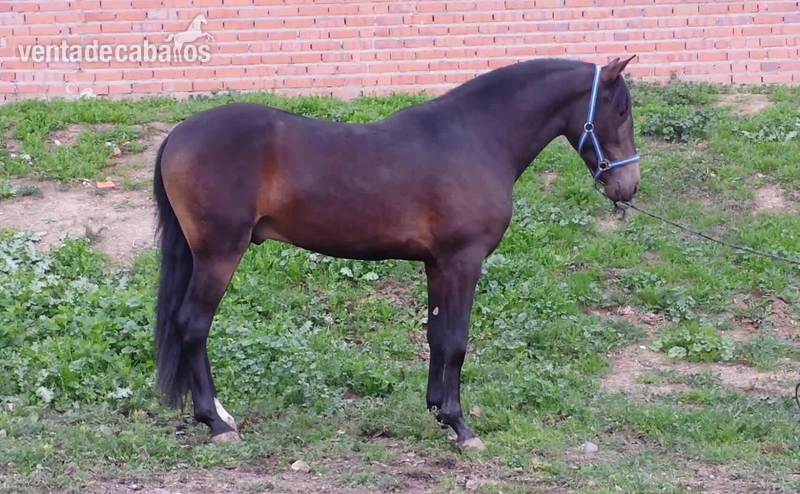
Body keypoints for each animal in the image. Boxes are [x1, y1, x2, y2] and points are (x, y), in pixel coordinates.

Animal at [151, 55, 641, 450]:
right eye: (620, 111)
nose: (627, 186)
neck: (473, 137)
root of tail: (178, 134)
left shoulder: (438, 264)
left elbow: (437, 336)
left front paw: (438, 410)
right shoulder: (464, 261)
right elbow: (457, 340)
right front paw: (461, 427)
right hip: (219, 254)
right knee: (193, 324)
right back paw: (216, 422)